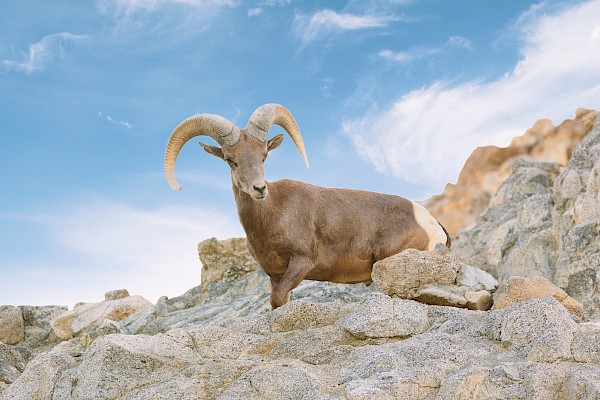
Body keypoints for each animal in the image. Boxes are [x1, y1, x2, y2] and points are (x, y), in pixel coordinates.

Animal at [164, 104, 450, 310]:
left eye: (264, 156)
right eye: (230, 160)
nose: (259, 189)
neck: (272, 216)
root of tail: (433, 224)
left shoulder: (302, 262)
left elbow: (278, 298)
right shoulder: (275, 274)